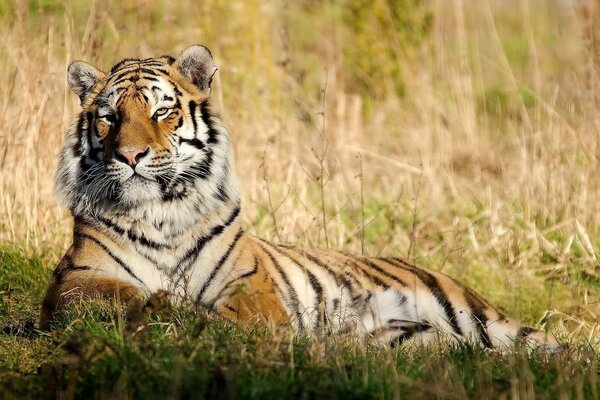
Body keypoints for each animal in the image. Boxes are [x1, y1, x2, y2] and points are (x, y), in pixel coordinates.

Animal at [39, 44, 560, 350]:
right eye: (109, 117)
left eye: (161, 111)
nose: (129, 155)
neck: (160, 211)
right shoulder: (76, 278)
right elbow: (118, 295)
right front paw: (164, 306)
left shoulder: (250, 284)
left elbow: (240, 314)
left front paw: (198, 318)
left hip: (477, 316)